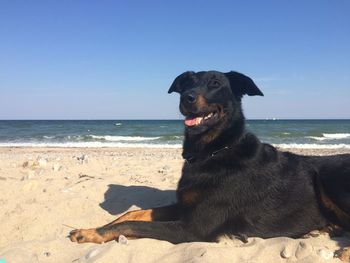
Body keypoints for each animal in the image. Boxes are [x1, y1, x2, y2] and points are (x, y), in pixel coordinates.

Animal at [69, 70, 350, 262]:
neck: (211, 152)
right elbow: (131, 215)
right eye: (186, 83)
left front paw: (91, 233)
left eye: (215, 84)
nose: (187, 97)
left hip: (332, 179)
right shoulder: (185, 207)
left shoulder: (193, 227)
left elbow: (131, 224)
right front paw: (94, 229)